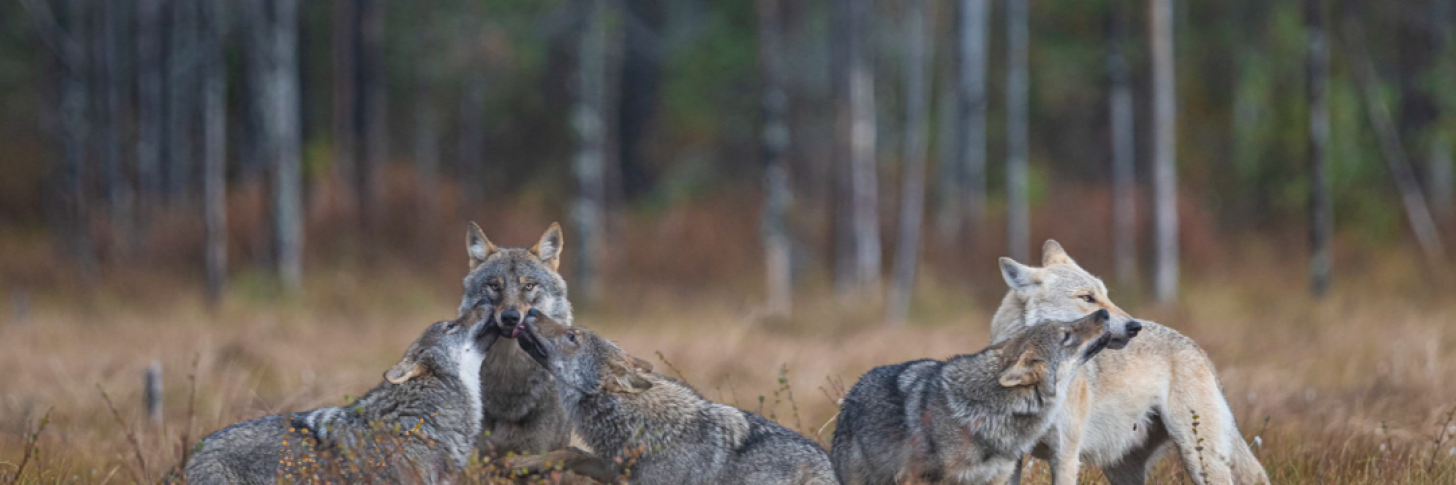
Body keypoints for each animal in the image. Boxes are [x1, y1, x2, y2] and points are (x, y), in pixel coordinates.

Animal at [995, 240, 1269, 483]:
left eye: (1106, 296)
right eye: (1087, 298)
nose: (1134, 326)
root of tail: (1197, 348)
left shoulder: (1065, 457)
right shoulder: (1010, 458)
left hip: (1198, 458)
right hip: (1123, 469)